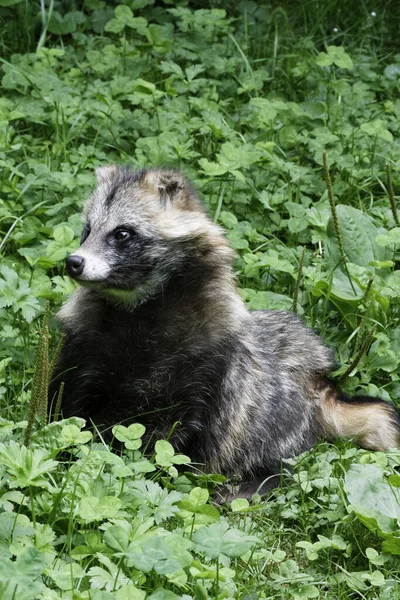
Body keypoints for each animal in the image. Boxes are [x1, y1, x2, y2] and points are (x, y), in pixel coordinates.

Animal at [49, 166, 400, 500]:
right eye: (87, 230)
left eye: (122, 233)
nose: (74, 262)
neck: (139, 308)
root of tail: (322, 383)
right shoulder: (88, 341)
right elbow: (69, 405)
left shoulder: (209, 353)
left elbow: (186, 426)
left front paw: (157, 471)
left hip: (275, 417)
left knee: (277, 458)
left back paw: (256, 482)